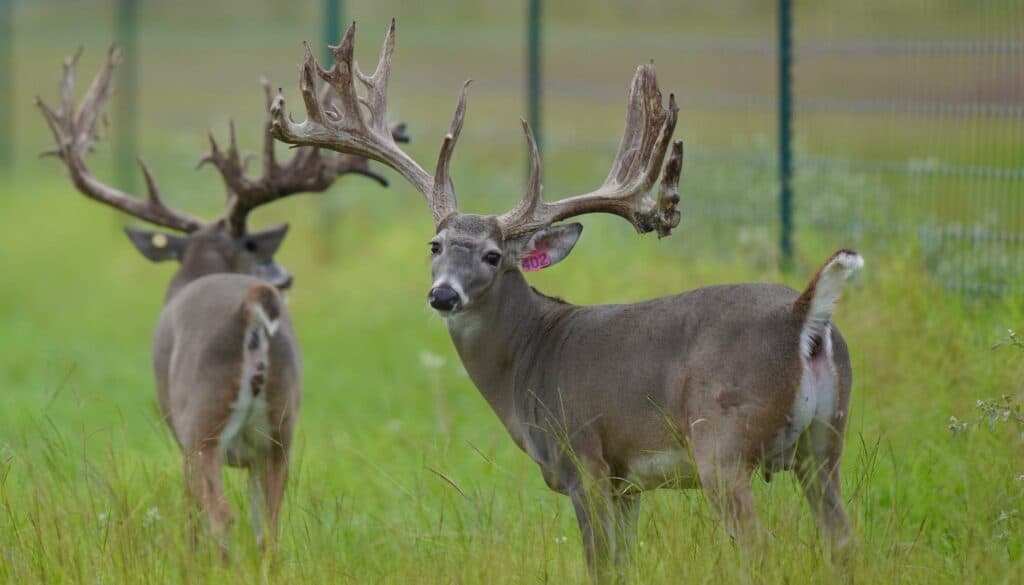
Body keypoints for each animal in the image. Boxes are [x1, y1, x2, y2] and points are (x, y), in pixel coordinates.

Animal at [37, 47, 402, 553]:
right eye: (256, 249)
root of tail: (251, 304)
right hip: (280, 430)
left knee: (221, 515)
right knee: (269, 530)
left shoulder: (179, 429)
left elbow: (194, 514)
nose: (286, 276)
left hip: (202, 421)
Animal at [270, 21, 862, 577]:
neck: (527, 361)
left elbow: (600, 564)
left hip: (722, 441)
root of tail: (803, 314)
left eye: (493, 256)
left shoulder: (584, 459)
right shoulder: (627, 483)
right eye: (434, 245)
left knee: (761, 547)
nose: (443, 294)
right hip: (824, 443)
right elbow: (625, 564)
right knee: (842, 540)